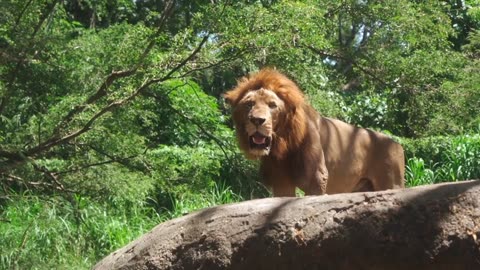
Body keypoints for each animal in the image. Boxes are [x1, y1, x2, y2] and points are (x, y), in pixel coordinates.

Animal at [225, 68, 404, 197]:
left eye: (272, 105)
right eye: (249, 104)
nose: (257, 120)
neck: (283, 144)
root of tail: (397, 144)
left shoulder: (316, 177)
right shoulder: (281, 181)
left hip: (391, 183)